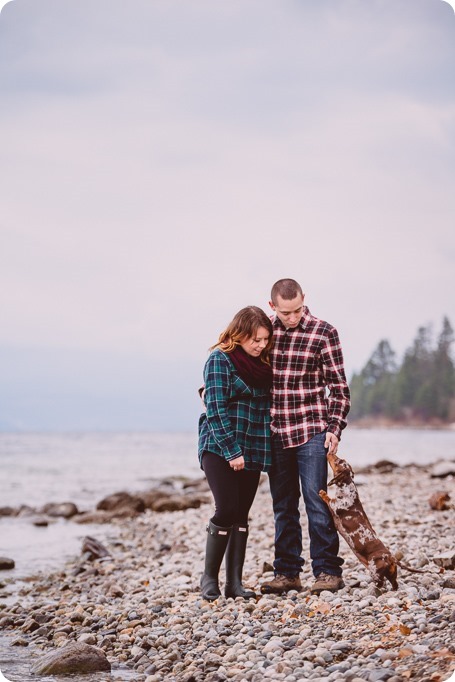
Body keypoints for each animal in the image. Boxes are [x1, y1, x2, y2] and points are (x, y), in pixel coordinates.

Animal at [320, 452, 400, 588]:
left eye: (338, 461)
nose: (330, 452)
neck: (347, 487)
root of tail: (390, 557)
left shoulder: (334, 505)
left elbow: (328, 498)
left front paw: (322, 492)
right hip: (392, 573)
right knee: (395, 585)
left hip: (375, 571)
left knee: (381, 582)